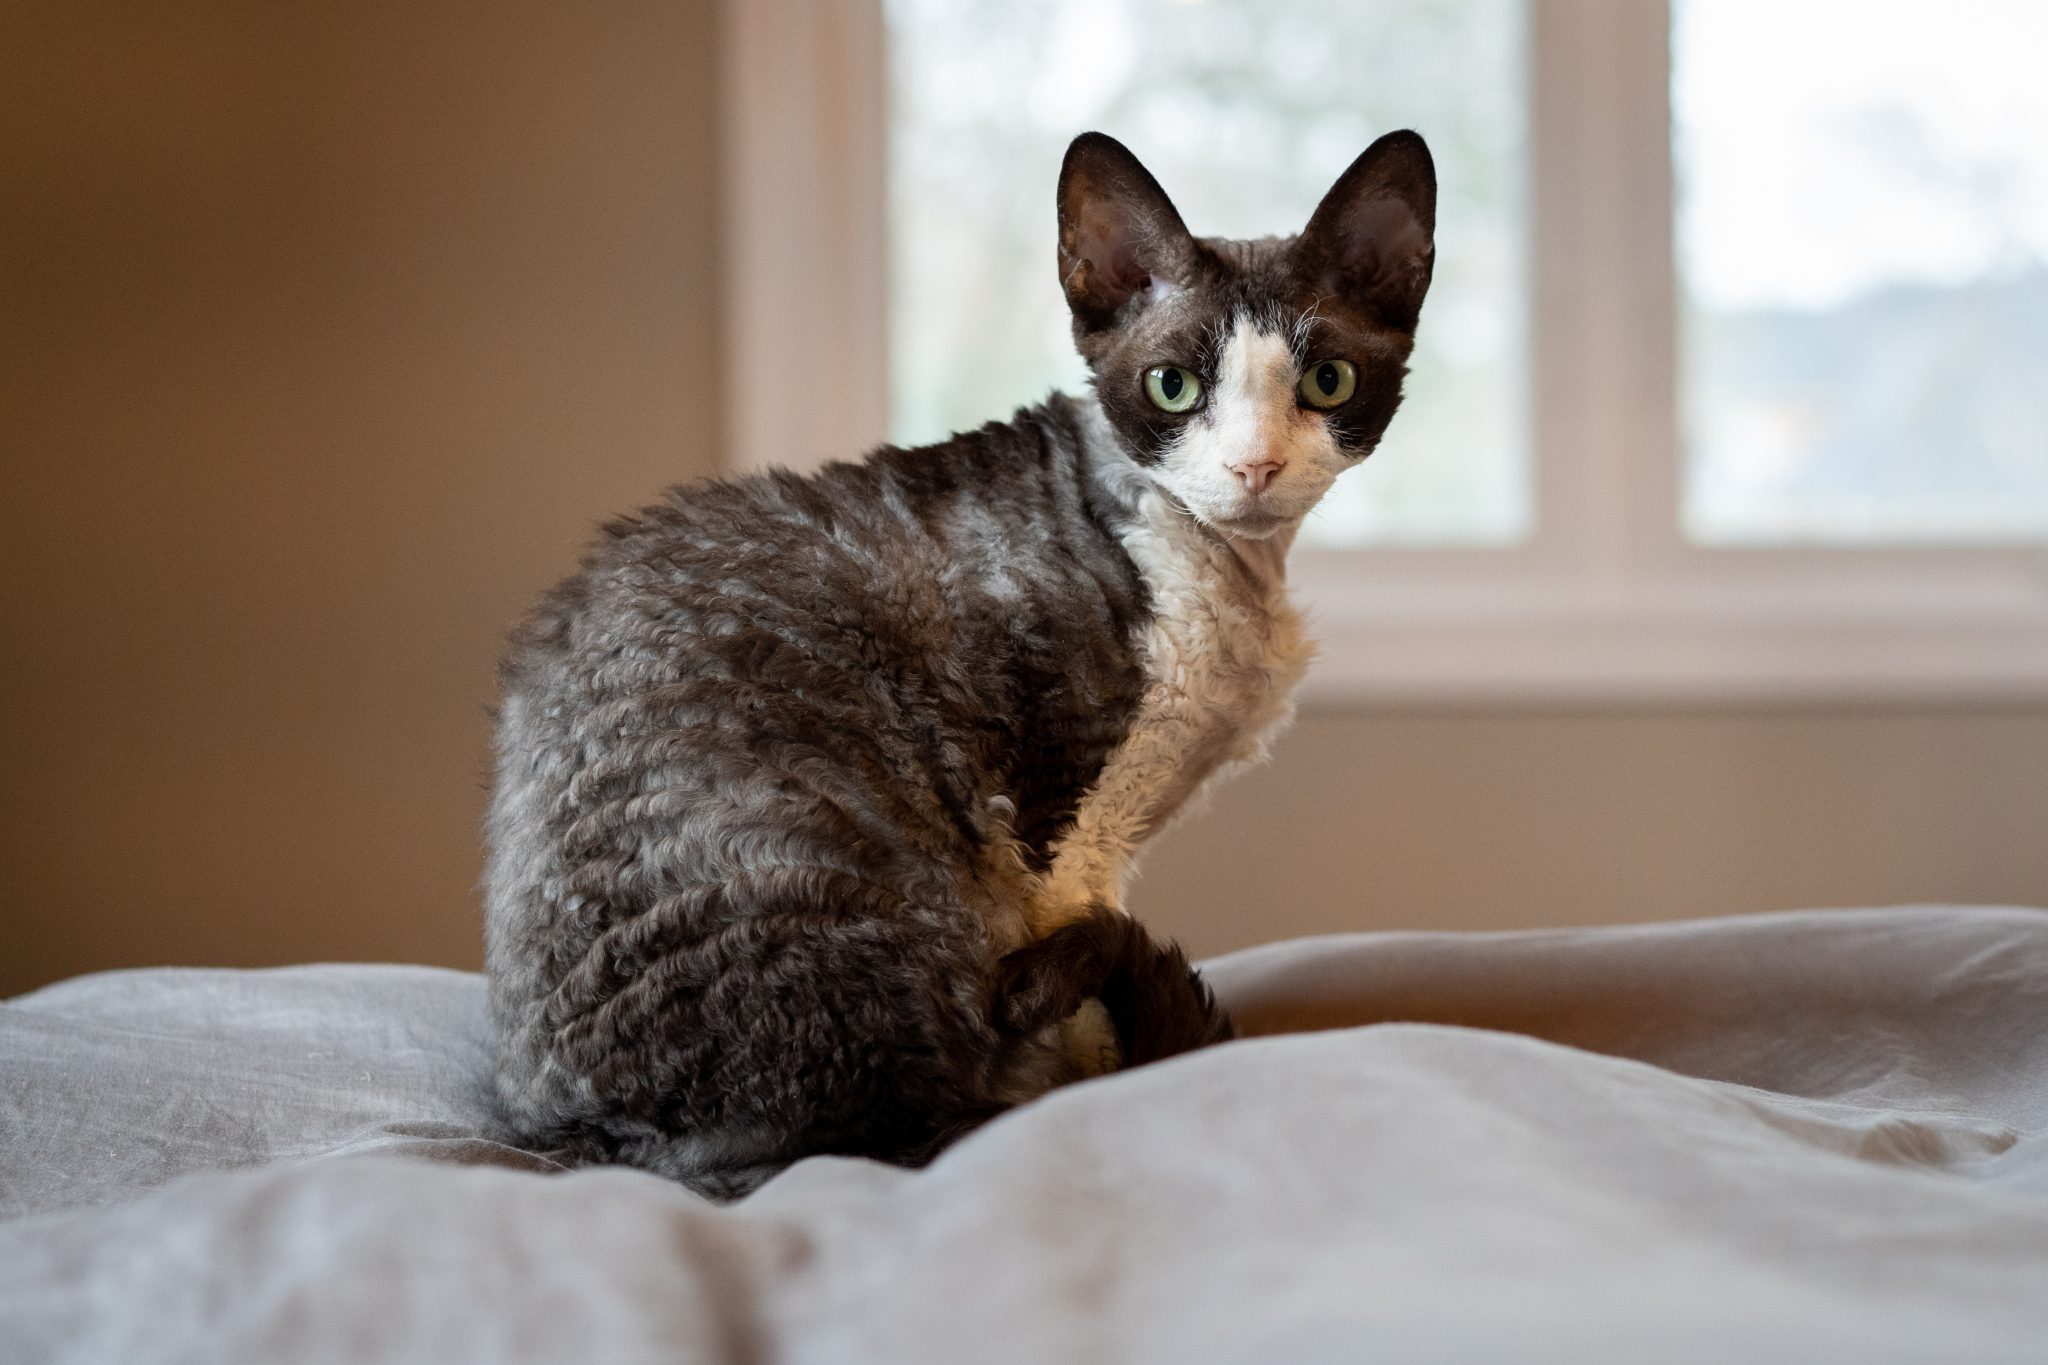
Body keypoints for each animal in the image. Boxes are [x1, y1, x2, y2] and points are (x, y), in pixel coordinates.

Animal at [481, 127, 1441, 1195]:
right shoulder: (1063, 821)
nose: (1255, 468)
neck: (1226, 565)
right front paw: (1110, 1081)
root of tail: (605, 1143)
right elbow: (1082, 977)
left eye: (1328, 382)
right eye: (1174, 387)